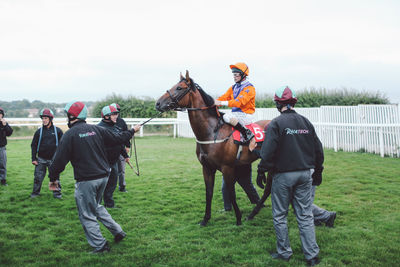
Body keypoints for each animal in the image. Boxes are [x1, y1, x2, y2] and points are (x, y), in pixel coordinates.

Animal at [155, 70, 270, 226]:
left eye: (179, 88)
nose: (158, 103)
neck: (211, 132)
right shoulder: (207, 168)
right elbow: (209, 192)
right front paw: (205, 219)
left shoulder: (228, 168)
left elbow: (231, 193)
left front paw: (238, 218)